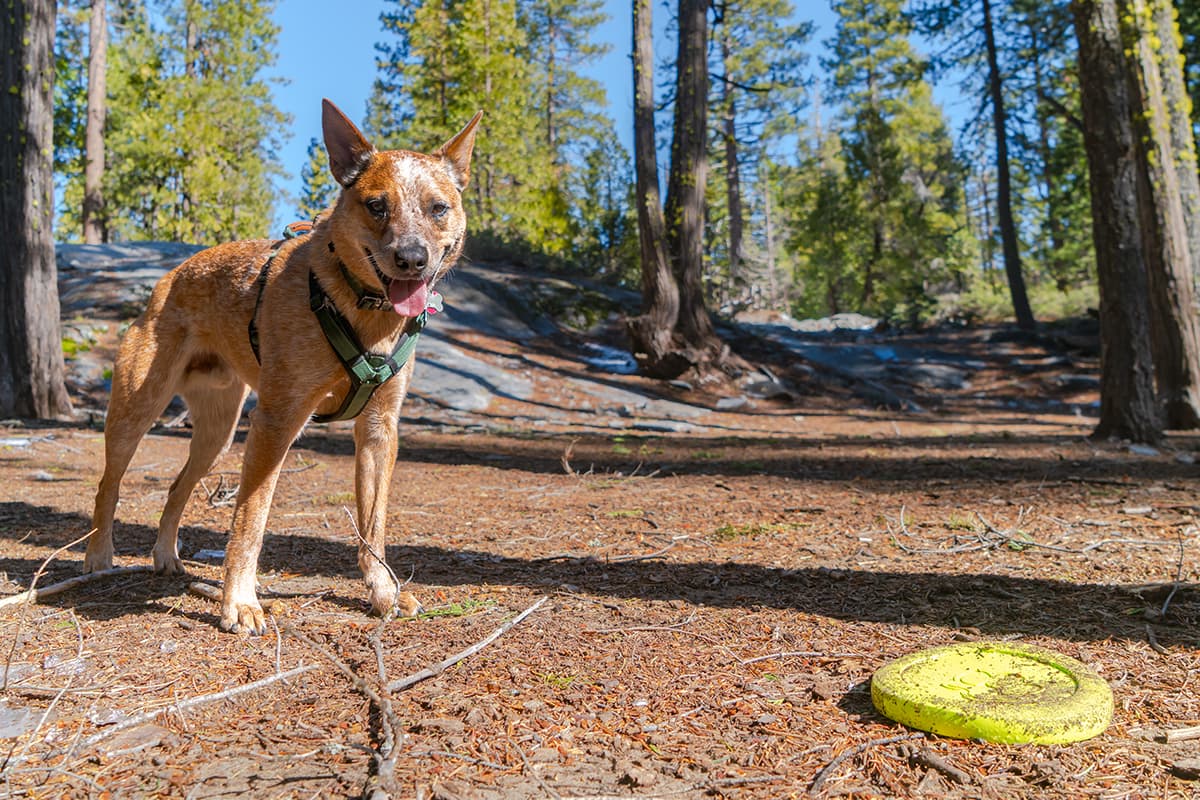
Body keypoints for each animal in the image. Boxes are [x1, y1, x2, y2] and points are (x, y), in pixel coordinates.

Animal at [84, 100, 482, 633]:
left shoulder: (379, 430)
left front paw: (383, 593)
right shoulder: (276, 423)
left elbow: (373, 527)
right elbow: (249, 522)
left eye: (438, 208)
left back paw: (166, 557)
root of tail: (168, 279)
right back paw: (98, 556)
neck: (361, 306)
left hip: (218, 434)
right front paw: (239, 602)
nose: (412, 259)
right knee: (108, 485)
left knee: (175, 488)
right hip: (136, 413)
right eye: (377, 206)